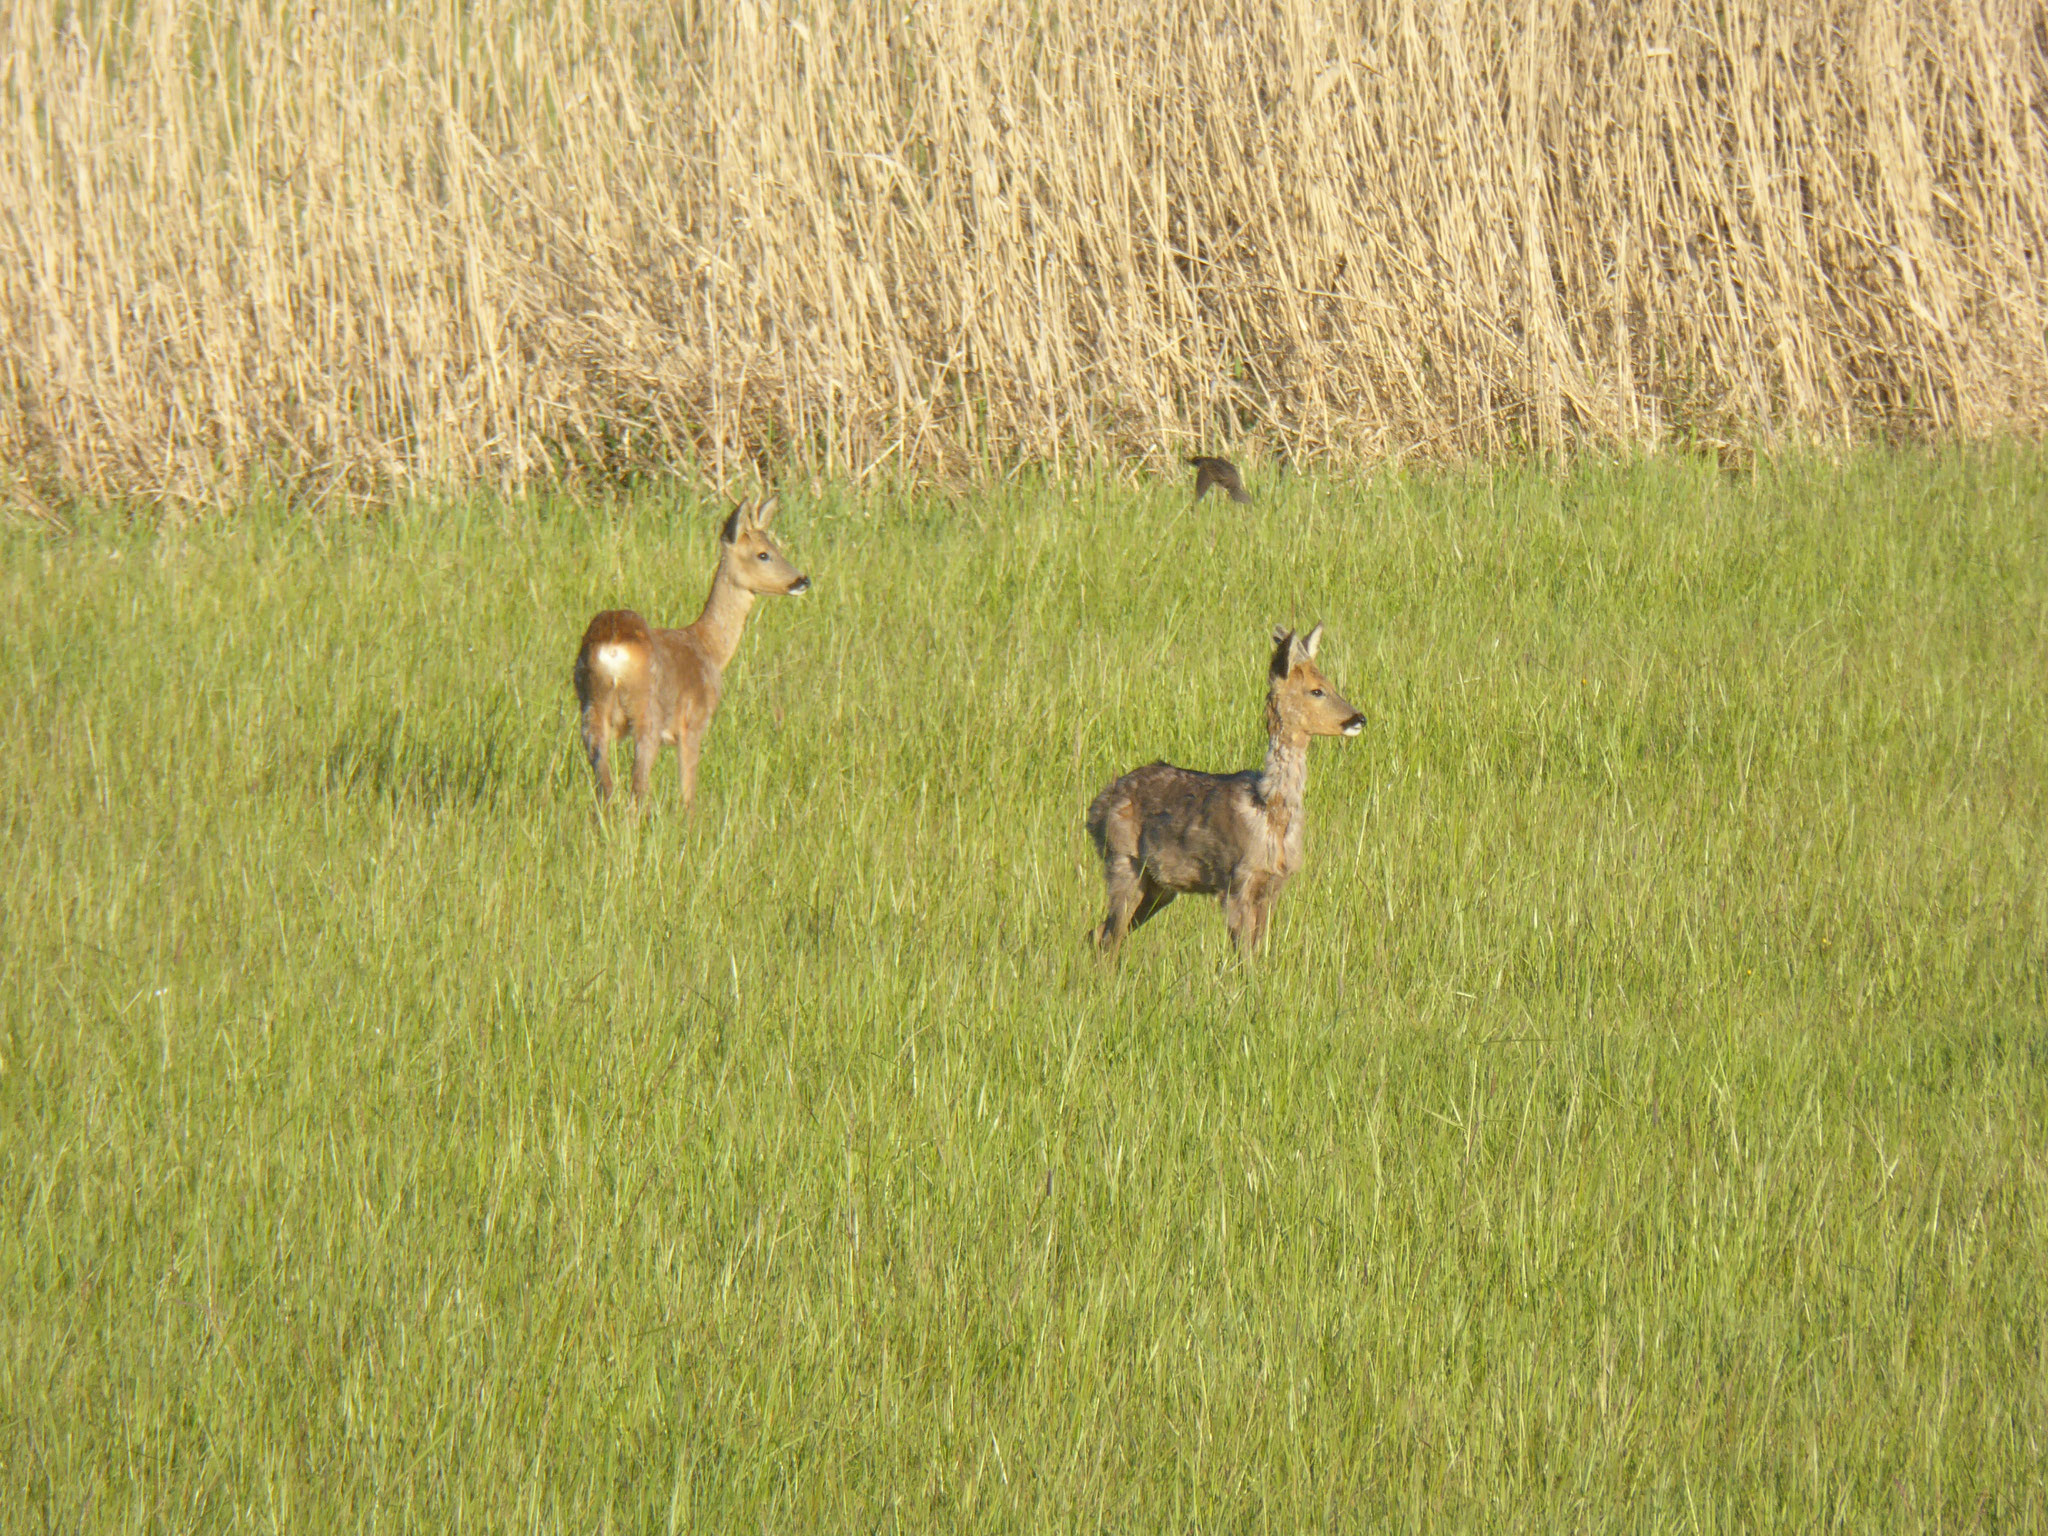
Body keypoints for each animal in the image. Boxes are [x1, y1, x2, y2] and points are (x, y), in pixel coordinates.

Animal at [573, 499, 811, 811]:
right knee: (638, 788)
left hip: (591, 708)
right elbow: (688, 796)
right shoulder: (693, 723)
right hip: (647, 712)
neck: (709, 648)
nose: (802, 580)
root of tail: (612, 647)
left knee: (606, 787)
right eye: (764, 554)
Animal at [1089, 622, 1359, 958]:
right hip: (1123, 862)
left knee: (1099, 932)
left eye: (1331, 684)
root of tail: (1095, 809)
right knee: (1108, 937)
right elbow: (1244, 957)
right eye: (1317, 690)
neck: (1269, 810)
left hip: (1158, 887)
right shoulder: (1236, 880)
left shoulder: (1272, 886)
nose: (1358, 718)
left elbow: (1259, 952)